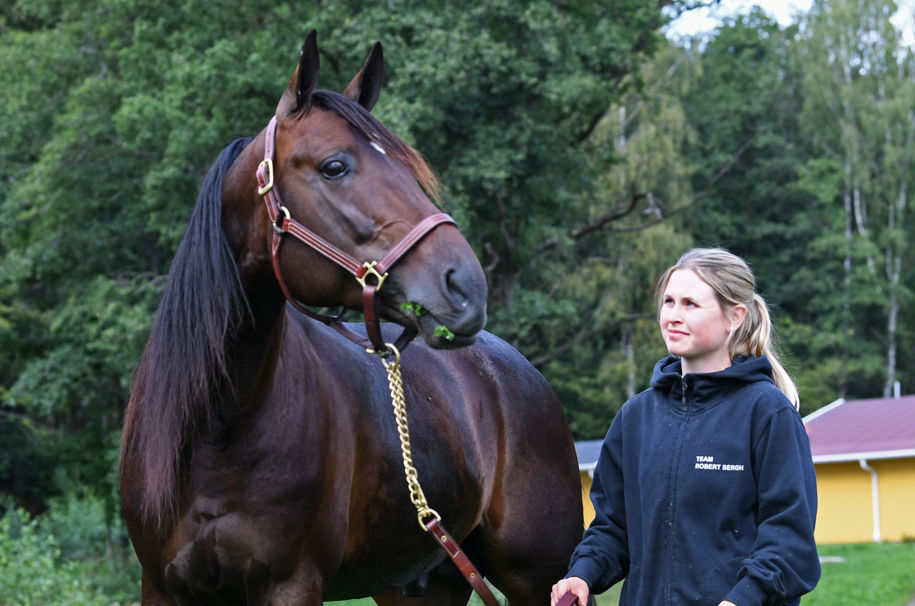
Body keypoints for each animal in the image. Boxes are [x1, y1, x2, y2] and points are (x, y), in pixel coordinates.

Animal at [120, 30, 584, 605]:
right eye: (334, 166)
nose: (465, 286)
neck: (218, 429)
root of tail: (517, 370)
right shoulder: (161, 586)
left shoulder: (292, 584)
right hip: (421, 584)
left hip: (540, 578)